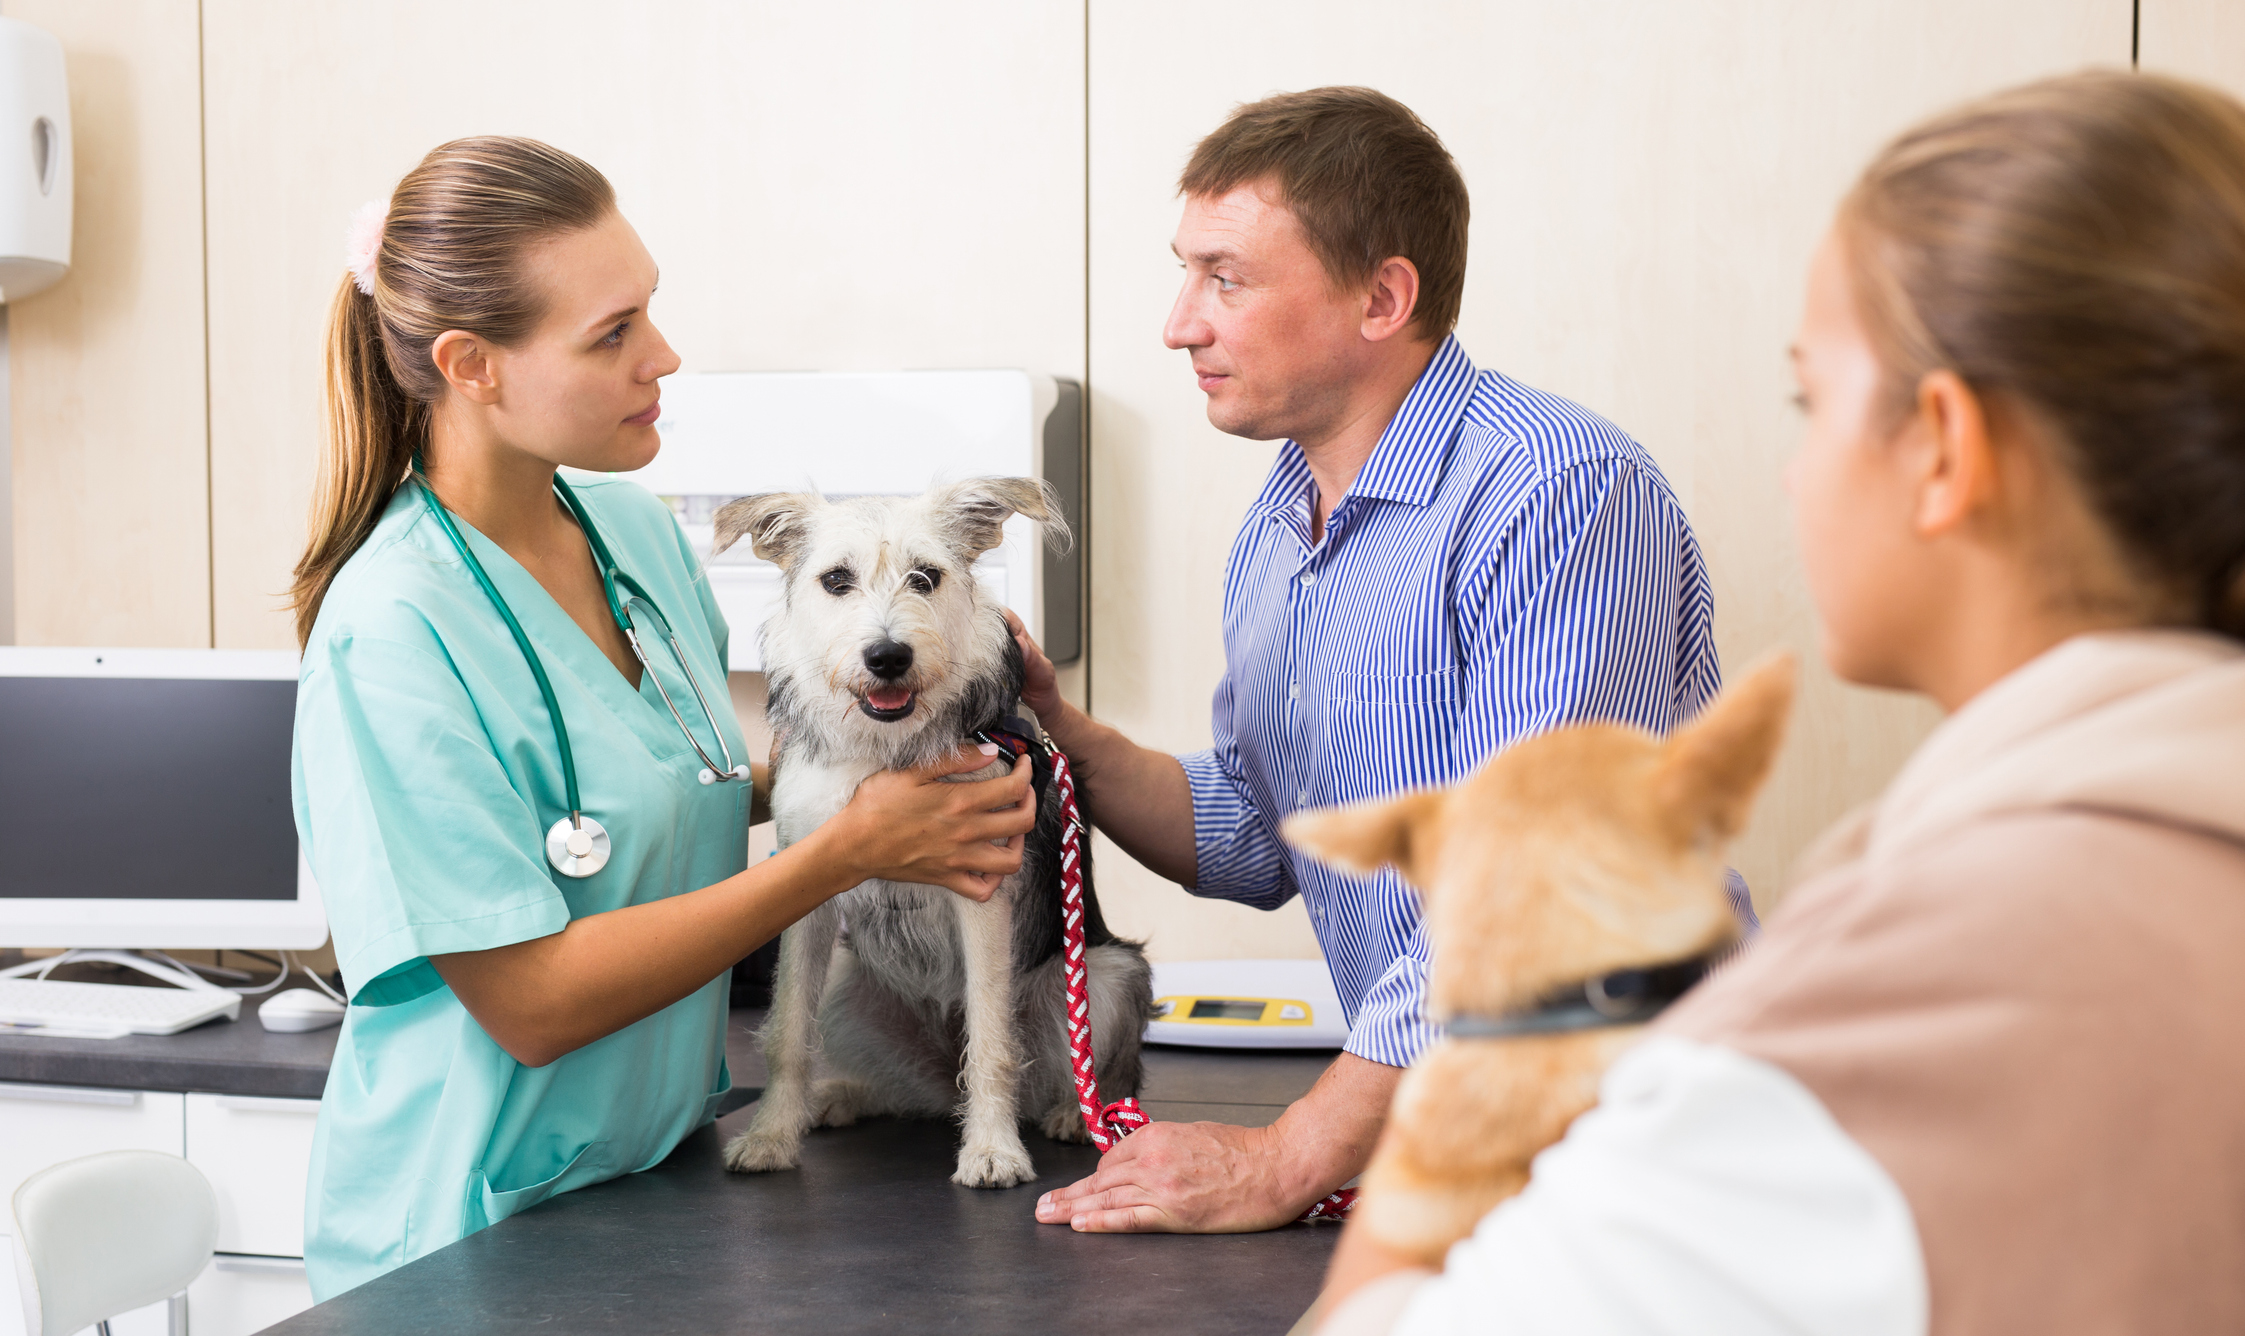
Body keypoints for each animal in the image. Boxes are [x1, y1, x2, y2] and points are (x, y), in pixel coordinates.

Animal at [709, 476, 1149, 1185]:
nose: (888, 656)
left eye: (926, 577)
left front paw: (992, 1150)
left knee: (1093, 1070)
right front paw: (771, 1135)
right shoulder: (804, 894)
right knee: (901, 1090)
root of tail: (944, 1077)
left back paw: (1077, 1117)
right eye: (836, 580)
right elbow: (786, 1032)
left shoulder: (985, 891)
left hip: (1107, 973)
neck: (885, 749)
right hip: (847, 980)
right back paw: (838, 1096)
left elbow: (993, 1039)